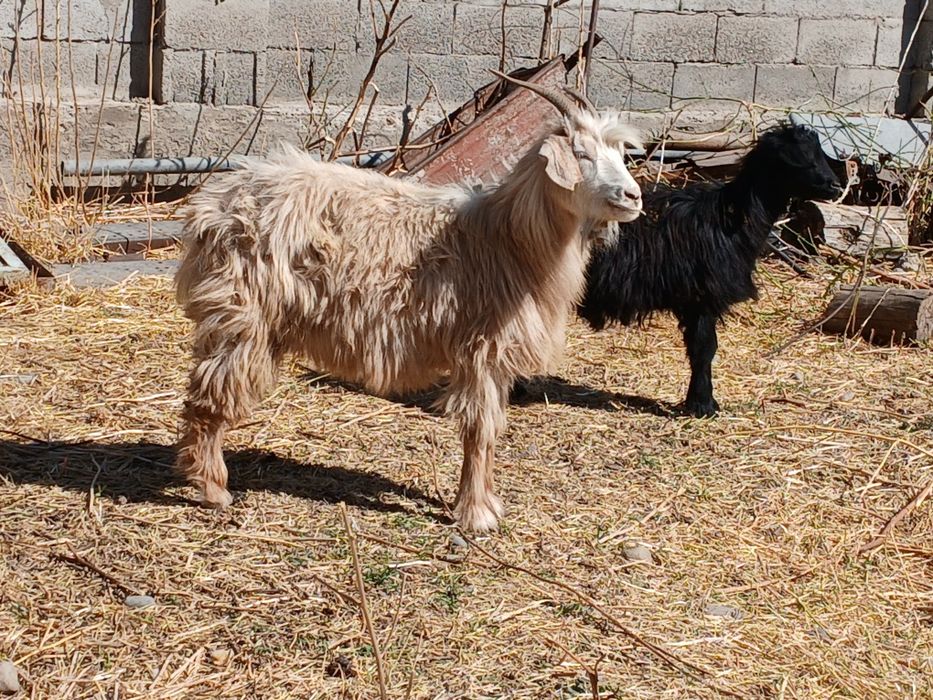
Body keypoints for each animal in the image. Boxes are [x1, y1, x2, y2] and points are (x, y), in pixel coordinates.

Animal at [174, 74, 643, 531]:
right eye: (580, 154)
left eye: (619, 153)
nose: (634, 196)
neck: (508, 240)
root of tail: (211, 207)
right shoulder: (480, 350)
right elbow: (479, 430)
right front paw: (475, 515)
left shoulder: (496, 357)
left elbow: (491, 429)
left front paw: (488, 503)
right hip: (241, 314)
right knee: (208, 395)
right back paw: (213, 490)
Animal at [578, 123, 842, 417]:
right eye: (800, 158)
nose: (835, 186)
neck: (730, 218)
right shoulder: (702, 299)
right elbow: (704, 350)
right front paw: (703, 405)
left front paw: (701, 402)